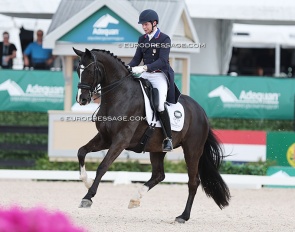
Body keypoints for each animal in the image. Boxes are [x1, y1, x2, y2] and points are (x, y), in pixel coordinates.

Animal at [72, 47, 231, 223]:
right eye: (78, 70)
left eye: (90, 70)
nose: (82, 99)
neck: (119, 95)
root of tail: (201, 111)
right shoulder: (104, 138)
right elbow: (81, 152)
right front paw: (87, 182)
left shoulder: (120, 140)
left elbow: (103, 166)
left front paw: (88, 197)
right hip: (157, 149)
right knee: (159, 175)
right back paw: (135, 199)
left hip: (192, 150)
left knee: (193, 182)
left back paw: (183, 216)